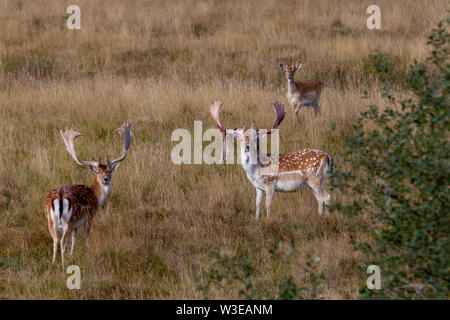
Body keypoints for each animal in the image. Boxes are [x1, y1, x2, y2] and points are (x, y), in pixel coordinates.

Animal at [44, 121, 131, 268]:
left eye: (110, 170)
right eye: (97, 171)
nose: (106, 178)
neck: (96, 195)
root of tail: (59, 197)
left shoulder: (75, 225)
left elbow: (75, 238)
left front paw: (72, 254)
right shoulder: (90, 216)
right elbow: (86, 234)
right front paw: (87, 250)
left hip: (51, 220)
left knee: (55, 240)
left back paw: (53, 263)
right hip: (68, 221)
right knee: (62, 242)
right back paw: (63, 265)